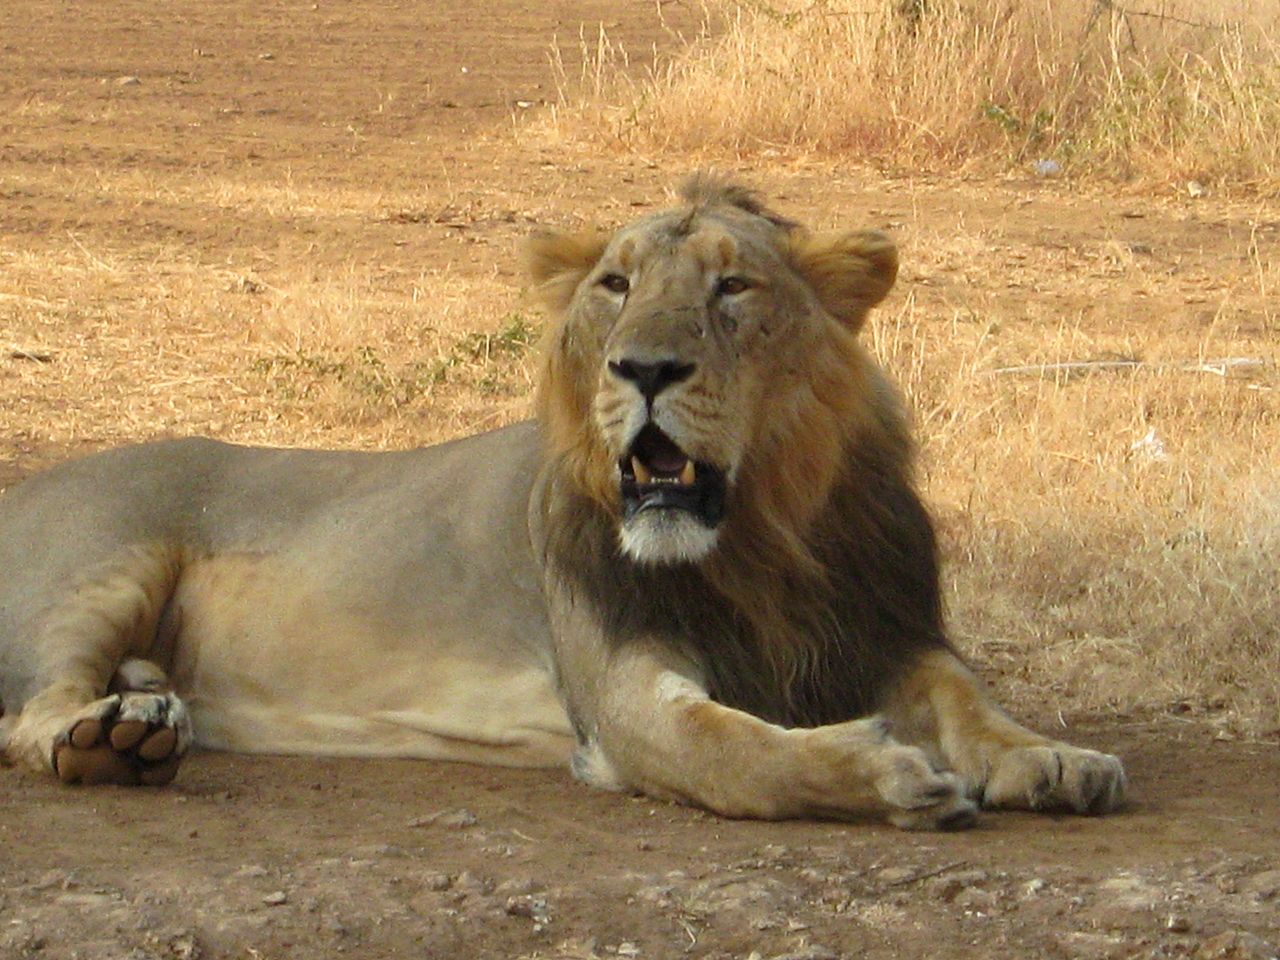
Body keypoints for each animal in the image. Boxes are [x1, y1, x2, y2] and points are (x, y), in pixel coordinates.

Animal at [0, 176, 1121, 829]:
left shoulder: (883, 629)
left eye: (733, 288)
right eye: (615, 285)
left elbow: (970, 701)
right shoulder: (618, 688)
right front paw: (885, 772)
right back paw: (110, 742)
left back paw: (148, 708)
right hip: (104, 562)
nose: (645, 369)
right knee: (32, 710)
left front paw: (1051, 759)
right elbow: (731, 752)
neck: (760, 543)